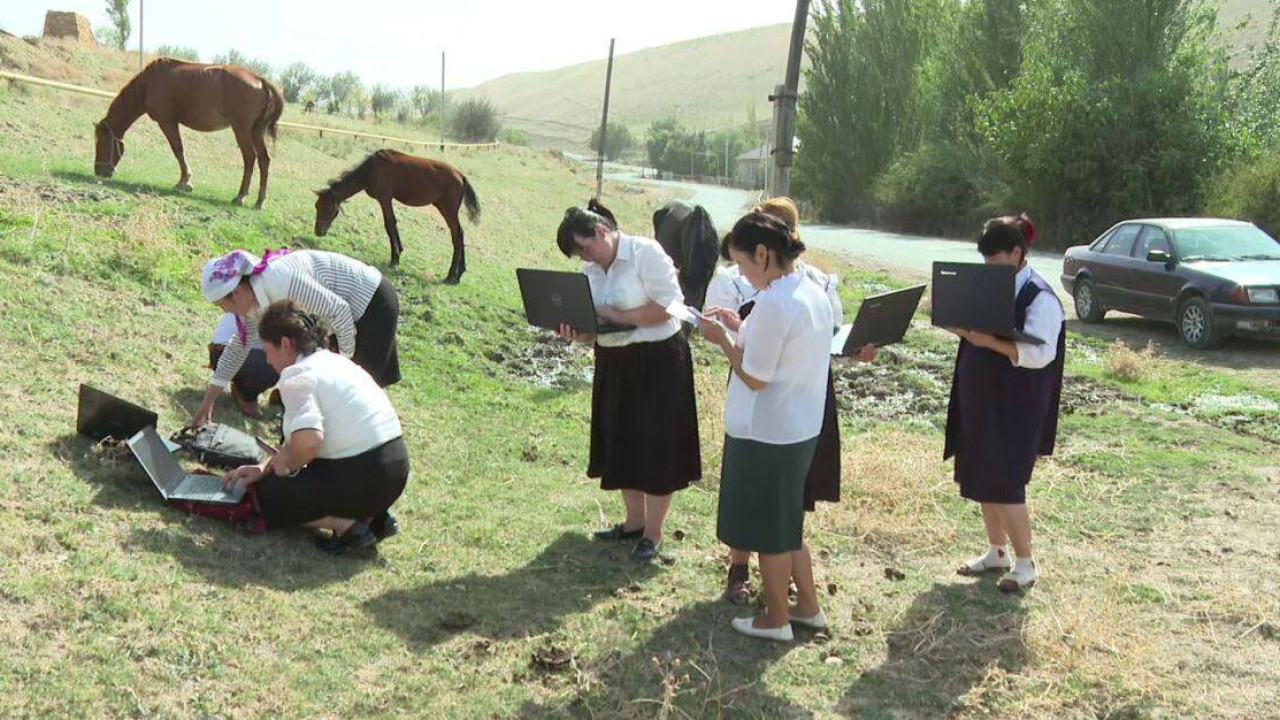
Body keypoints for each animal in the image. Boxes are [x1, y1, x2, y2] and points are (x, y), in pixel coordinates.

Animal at [94, 58, 282, 206]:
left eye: (101, 142)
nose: (98, 171)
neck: (148, 83)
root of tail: (259, 80)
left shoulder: (167, 122)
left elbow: (178, 150)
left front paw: (184, 181)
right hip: (255, 132)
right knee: (264, 160)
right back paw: (259, 201)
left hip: (242, 130)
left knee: (250, 158)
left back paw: (240, 196)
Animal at [314, 149, 481, 281]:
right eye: (317, 206)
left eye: (330, 210)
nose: (318, 232)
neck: (373, 169)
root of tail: (461, 176)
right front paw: (399, 251)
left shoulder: (384, 199)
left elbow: (390, 224)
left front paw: (395, 258)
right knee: (460, 235)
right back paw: (459, 273)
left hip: (448, 211)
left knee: (457, 236)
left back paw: (451, 275)